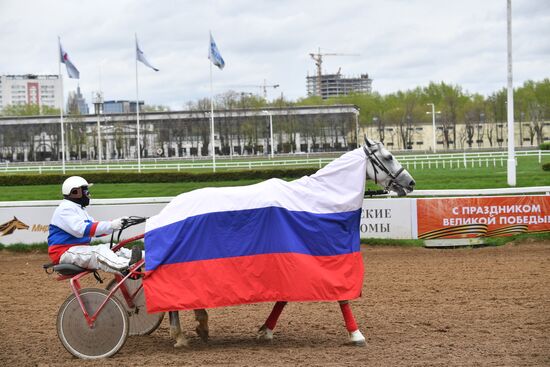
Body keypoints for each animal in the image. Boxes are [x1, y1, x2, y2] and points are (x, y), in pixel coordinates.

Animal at [157, 138, 416, 348]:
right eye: (388, 156)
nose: (411, 183)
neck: (317, 200)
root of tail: (171, 208)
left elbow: (284, 298)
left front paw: (266, 330)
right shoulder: (323, 254)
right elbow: (341, 295)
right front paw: (356, 334)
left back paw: (200, 327)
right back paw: (180, 335)